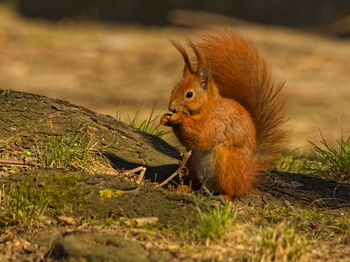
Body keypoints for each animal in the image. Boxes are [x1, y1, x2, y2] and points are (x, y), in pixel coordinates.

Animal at [160, 31, 286, 199]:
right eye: (174, 89)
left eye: (189, 94)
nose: (172, 108)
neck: (206, 106)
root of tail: (245, 179)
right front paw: (165, 118)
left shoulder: (218, 120)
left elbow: (203, 136)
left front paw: (178, 119)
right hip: (193, 164)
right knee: (201, 186)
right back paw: (186, 188)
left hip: (226, 160)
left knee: (230, 190)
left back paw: (224, 196)